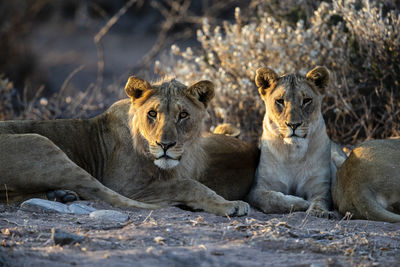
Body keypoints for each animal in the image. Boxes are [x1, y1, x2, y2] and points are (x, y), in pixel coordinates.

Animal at [0, 76, 258, 217]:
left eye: (183, 115)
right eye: (152, 113)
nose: (165, 145)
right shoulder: (127, 186)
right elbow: (188, 184)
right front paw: (229, 205)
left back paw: (60, 195)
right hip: (42, 142)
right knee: (108, 195)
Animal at [245, 66, 342, 218]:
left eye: (307, 100)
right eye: (280, 101)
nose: (293, 125)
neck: (293, 154)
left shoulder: (320, 186)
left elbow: (321, 200)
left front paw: (318, 211)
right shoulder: (257, 189)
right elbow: (271, 199)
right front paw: (301, 203)